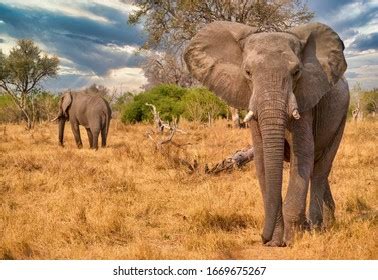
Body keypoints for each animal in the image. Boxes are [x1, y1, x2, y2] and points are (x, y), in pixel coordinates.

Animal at [185, 20, 350, 246]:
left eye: (296, 72)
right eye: (247, 72)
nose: (262, 238)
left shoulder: (305, 100)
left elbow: (302, 155)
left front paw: (291, 240)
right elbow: (262, 159)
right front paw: (276, 242)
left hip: (341, 114)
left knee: (320, 168)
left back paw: (317, 227)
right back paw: (325, 223)